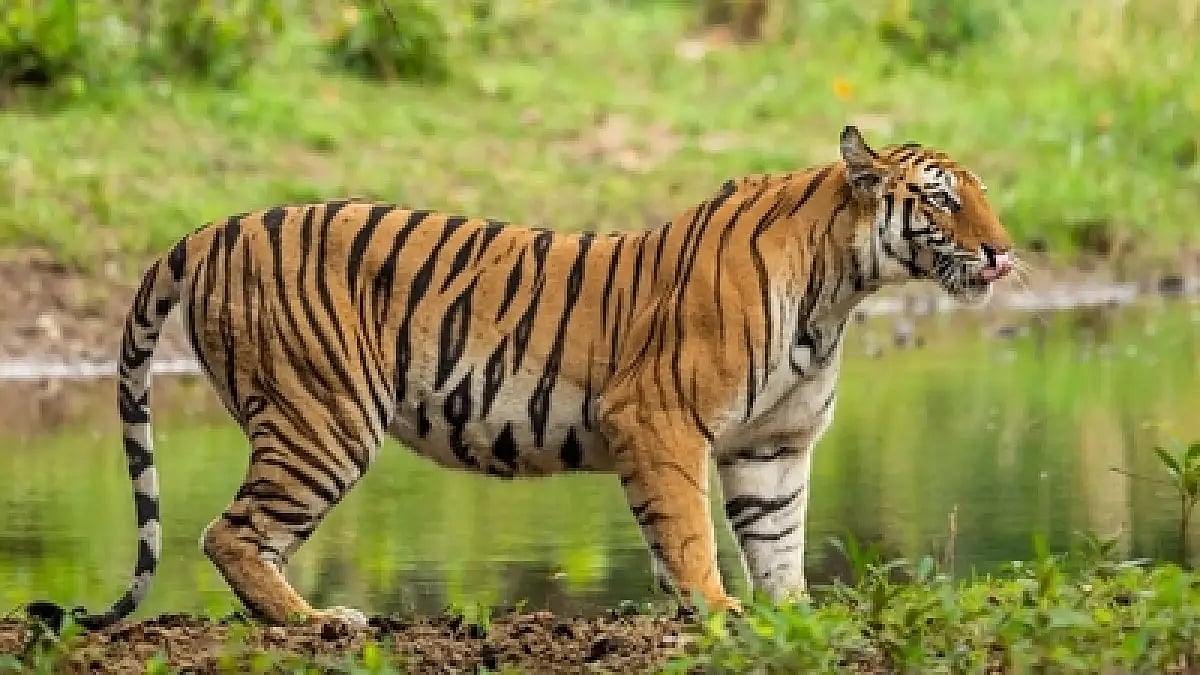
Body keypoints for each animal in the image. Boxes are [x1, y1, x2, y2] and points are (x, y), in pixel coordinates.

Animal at [57, 125, 1014, 630]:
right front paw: (715, 610)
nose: (1005, 252)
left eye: (981, 194)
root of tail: (213, 227)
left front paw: (794, 616)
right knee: (231, 531)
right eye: (941, 199)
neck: (841, 291)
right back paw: (317, 622)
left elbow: (776, 541)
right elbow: (691, 534)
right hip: (323, 419)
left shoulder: (771, 445)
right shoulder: (659, 418)